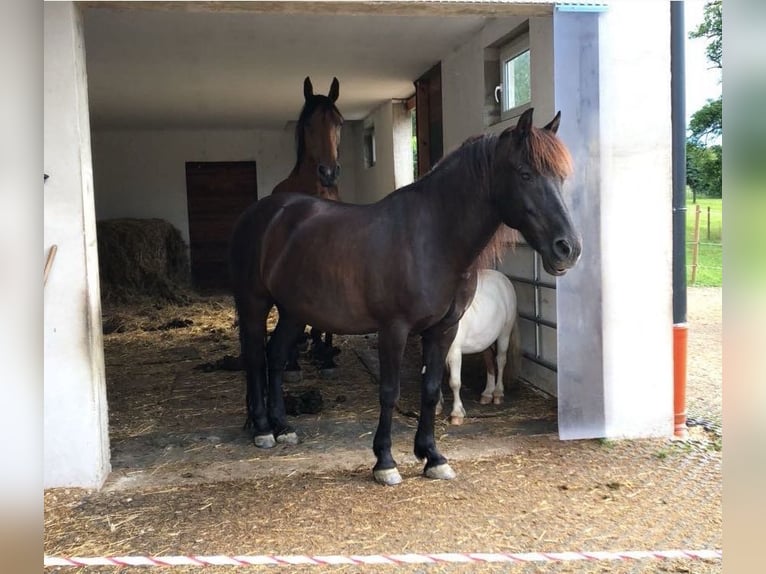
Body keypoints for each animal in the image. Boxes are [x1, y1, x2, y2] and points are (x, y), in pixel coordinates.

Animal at [438, 270, 520, 428]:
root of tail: (503, 278)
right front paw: (437, 407)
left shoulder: (454, 352)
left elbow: (455, 382)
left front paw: (457, 414)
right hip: (486, 340)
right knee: (489, 362)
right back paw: (487, 394)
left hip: (504, 334)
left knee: (500, 361)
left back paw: (497, 394)